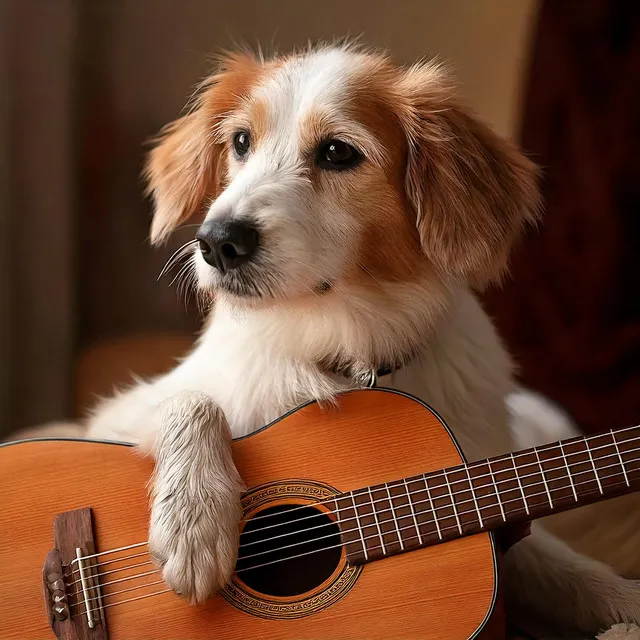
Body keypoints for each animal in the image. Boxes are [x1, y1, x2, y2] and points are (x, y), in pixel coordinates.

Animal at [69, 43, 640, 636]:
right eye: (242, 142)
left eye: (337, 153)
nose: (217, 242)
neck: (342, 345)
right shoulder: (113, 415)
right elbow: (193, 400)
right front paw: (194, 518)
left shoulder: (488, 502)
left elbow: (567, 568)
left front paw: (627, 605)